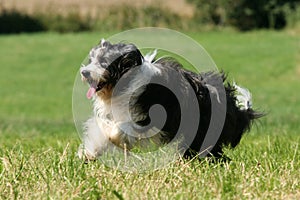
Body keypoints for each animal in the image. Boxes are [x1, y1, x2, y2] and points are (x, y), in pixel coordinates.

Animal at [78, 39, 262, 161]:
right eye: (91, 60)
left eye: (103, 62)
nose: (84, 72)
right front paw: (89, 153)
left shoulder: (147, 117)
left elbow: (119, 130)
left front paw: (110, 135)